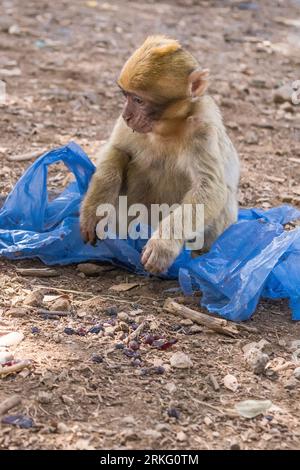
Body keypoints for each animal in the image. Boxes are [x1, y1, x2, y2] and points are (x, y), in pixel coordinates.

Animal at [79, 35, 239, 276]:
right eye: (126, 96)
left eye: (139, 100)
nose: (126, 116)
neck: (167, 128)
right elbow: (117, 150)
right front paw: (95, 208)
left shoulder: (203, 129)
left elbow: (210, 188)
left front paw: (164, 244)